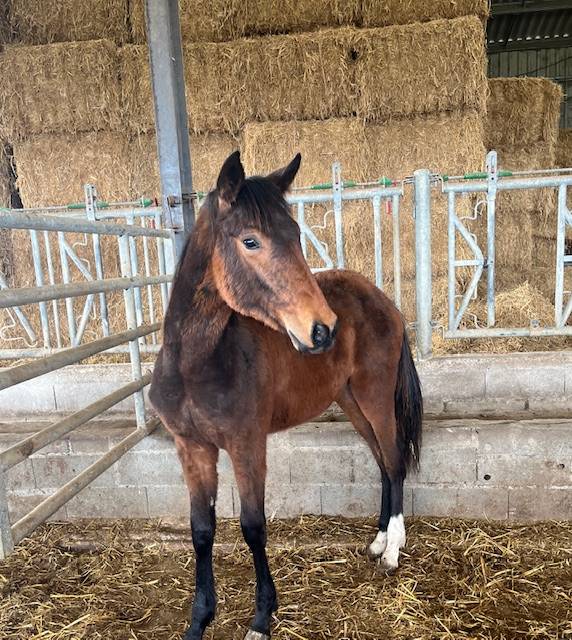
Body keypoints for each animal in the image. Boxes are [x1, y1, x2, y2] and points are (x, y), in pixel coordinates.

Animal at [149, 151, 423, 640]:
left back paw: (392, 551)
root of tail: (385, 301)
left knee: (393, 462)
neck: (197, 363)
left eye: (295, 234)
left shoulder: (246, 444)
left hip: (374, 399)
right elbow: (201, 530)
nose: (322, 329)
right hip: (351, 403)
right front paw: (199, 619)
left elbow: (253, 527)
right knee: (381, 463)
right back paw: (376, 542)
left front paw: (261, 618)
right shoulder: (192, 448)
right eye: (250, 241)